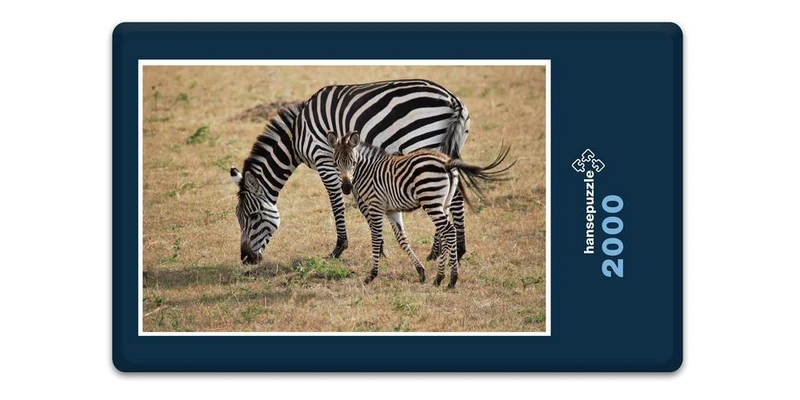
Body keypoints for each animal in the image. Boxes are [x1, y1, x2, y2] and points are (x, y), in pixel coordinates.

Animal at [230, 79, 470, 265]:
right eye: (238, 218)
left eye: (253, 216)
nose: (246, 259)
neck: (296, 135)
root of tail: (452, 99)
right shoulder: (347, 165)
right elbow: (362, 202)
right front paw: (380, 247)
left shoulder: (324, 159)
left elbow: (337, 202)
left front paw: (339, 248)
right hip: (448, 147)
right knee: (453, 193)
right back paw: (450, 250)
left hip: (421, 141)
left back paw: (446, 251)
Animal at [328, 130, 514, 288]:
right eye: (335, 164)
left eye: (353, 163)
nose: (346, 188)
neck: (368, 171)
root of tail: (447, 163)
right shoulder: (392, 210)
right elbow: (402, 240)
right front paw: (420, 271)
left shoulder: (376, 206)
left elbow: (376, 238)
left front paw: (371, 275)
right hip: (443, 203)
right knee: (445, 231)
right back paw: (443, 279)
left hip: (430, 199)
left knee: (448, 230)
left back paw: (448, 278)